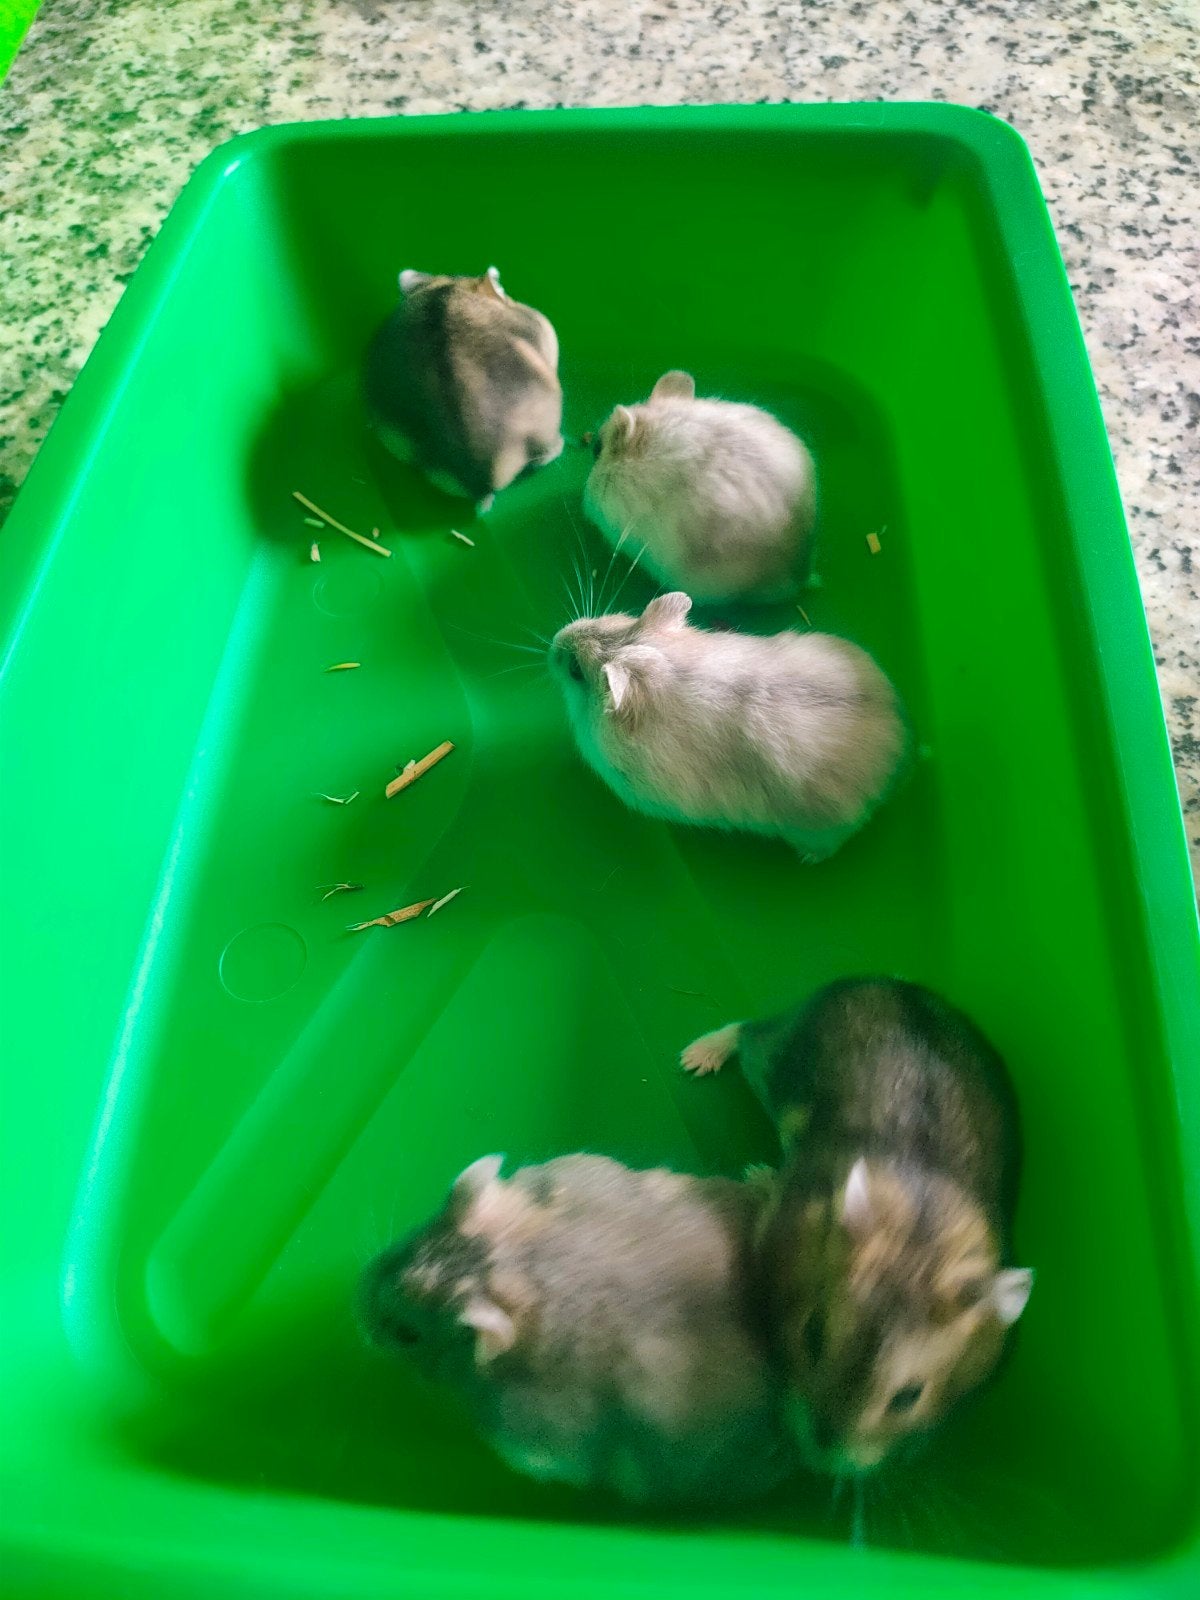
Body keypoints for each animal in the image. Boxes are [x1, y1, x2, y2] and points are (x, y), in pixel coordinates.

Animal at [681, 978, 1034, 1476]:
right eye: (811, 1336)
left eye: (909, 1397)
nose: (819, 1456)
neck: (922, 1243)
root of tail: (888, 980)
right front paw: (757, 1176)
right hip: (778, 1057)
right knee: (749, 1030)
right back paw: (696, 1057)